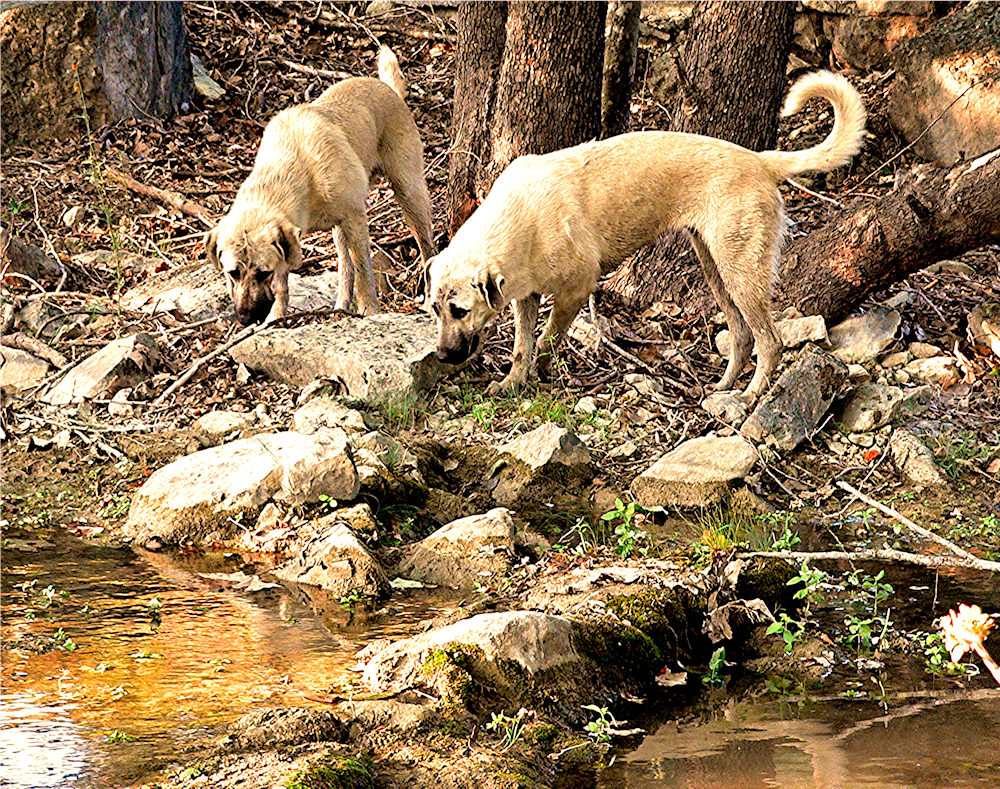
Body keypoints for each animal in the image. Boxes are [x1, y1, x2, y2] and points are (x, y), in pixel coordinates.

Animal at [206, 46, 434, 324]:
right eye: (233, 273)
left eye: (262, 273)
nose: (245, 319)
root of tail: (388, 89)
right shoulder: (295, 239)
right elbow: (285, 283)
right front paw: (277, 317)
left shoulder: (355, 219)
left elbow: (363, 271)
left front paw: (370, 310)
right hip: (340, 229)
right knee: (345, 269)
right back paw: (340, 306)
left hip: (408, 193)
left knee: (426, 249)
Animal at [426, 71, 864, 404]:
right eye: (434, 309)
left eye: (460, 310)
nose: (443, 356)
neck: (519, 221)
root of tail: (759, 160)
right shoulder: (527, 296)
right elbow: (521, 347)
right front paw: (513, 383)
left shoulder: (576, 289)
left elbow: (547, 341)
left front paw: (541, 376)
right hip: (716, 269)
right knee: (741, 336)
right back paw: (722, 386)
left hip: (742, 273)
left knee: (770, 341)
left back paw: (750, 395)